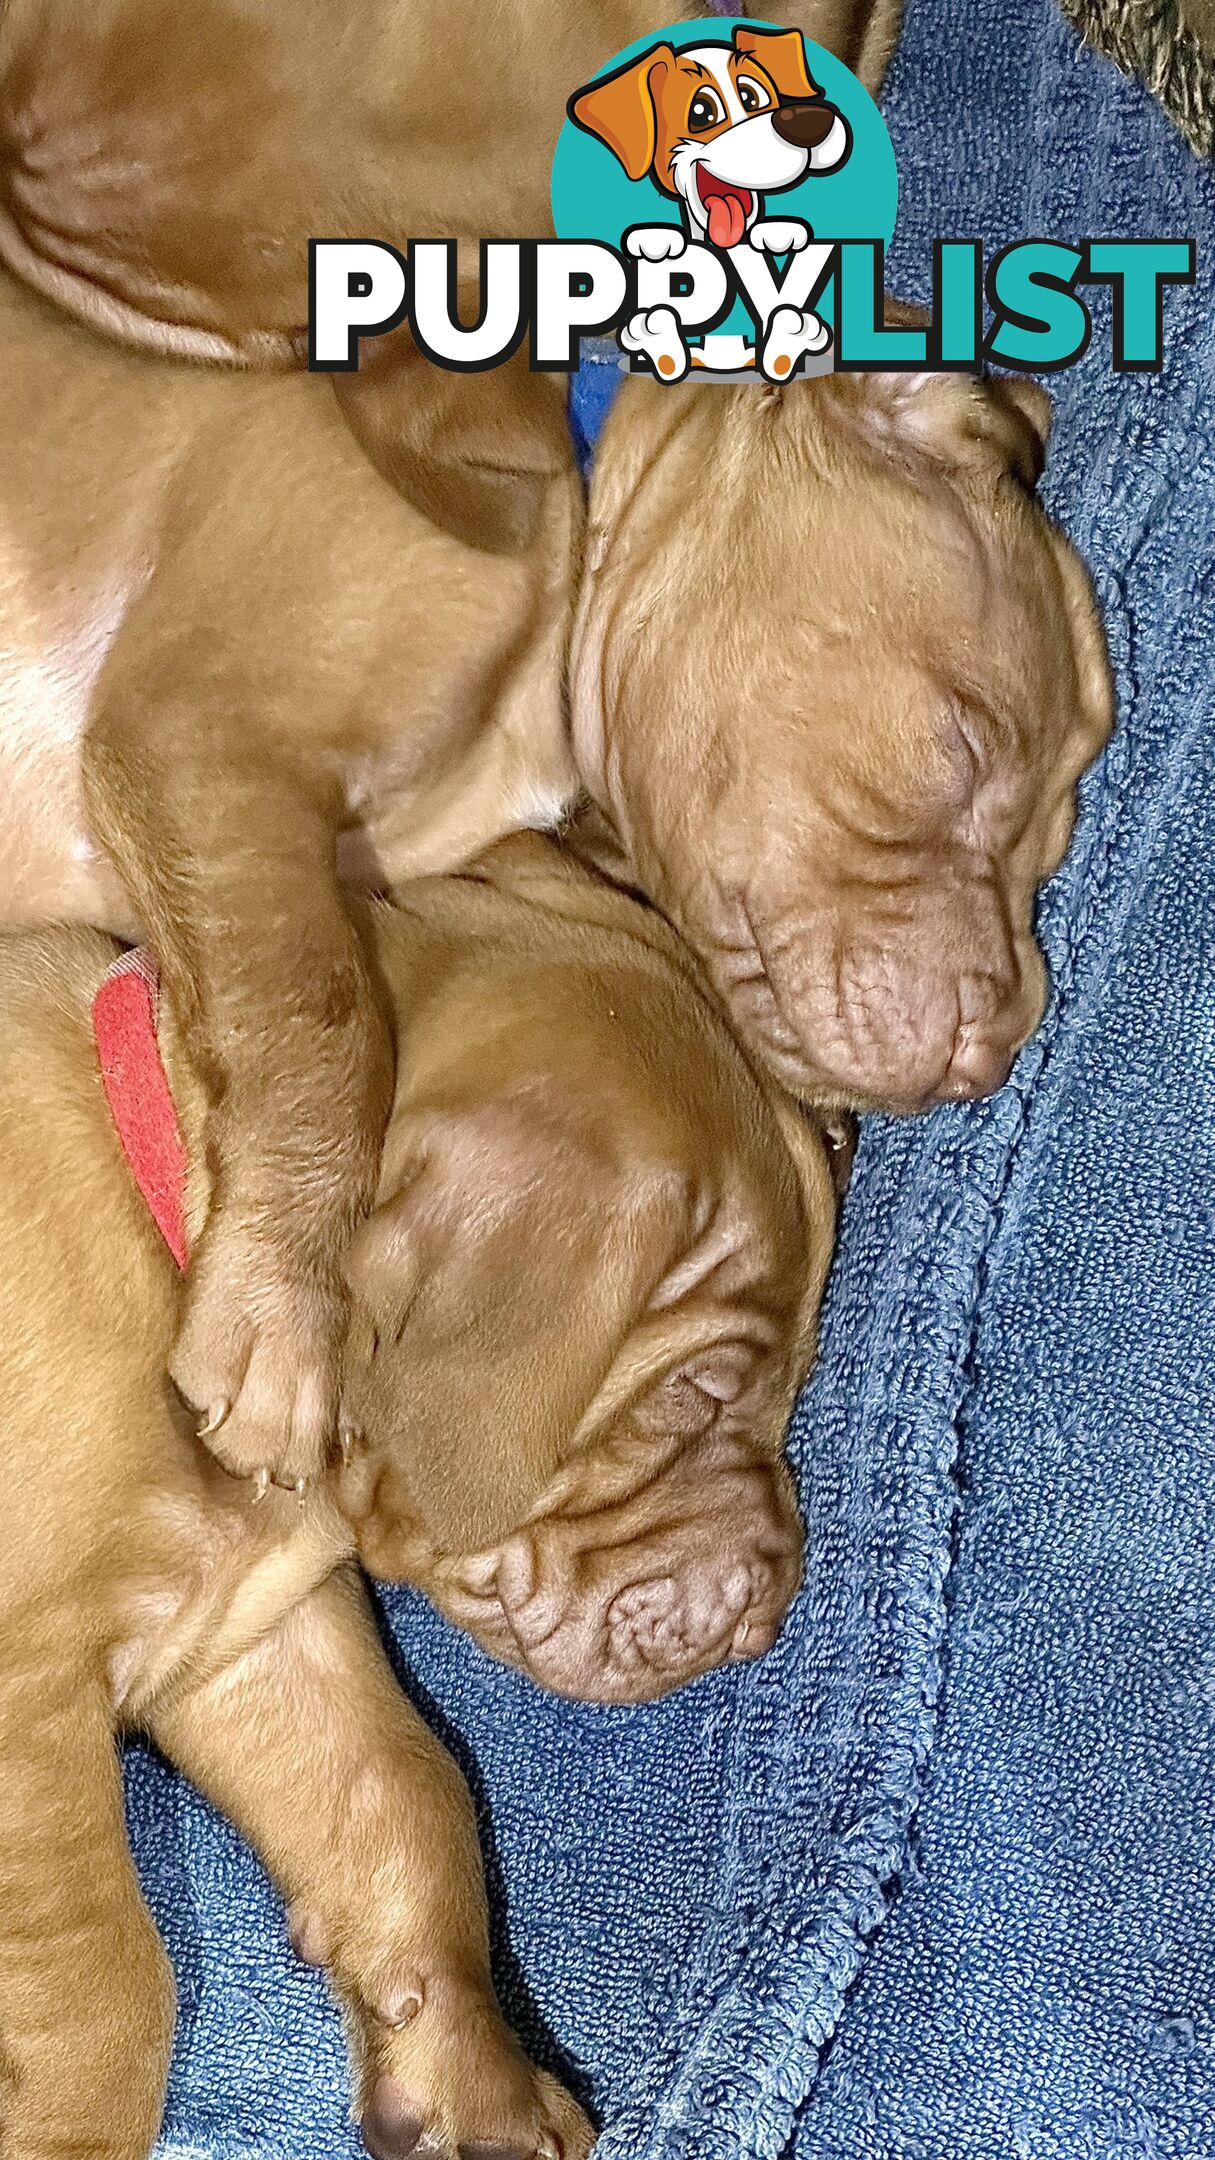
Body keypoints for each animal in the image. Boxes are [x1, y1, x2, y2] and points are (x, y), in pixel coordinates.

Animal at [0, 833, 830, 2160]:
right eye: (699, 1391)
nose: (775, 1600)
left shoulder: (253, 1630)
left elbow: (406, 1798)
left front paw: (472, 2084)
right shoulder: (26, 1691)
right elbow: (106, 1979)